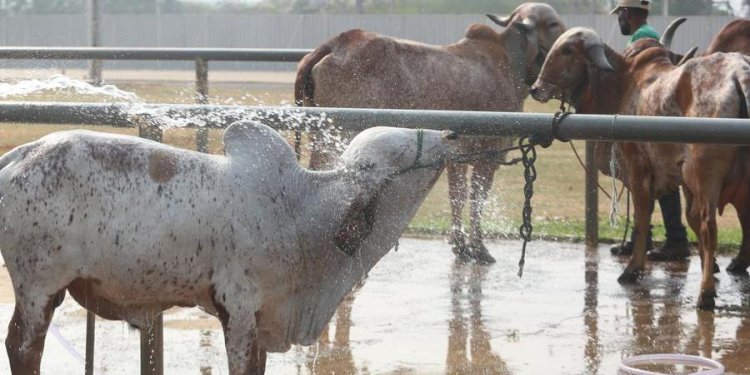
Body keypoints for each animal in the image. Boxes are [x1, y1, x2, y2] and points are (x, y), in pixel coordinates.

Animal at [0, 122, 462, 374]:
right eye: (399, 151)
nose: (448, 133)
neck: (301, 210)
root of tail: (19, 156)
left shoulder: (260, 315)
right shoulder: (236, 306)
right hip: (39, 286)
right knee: (22, 347)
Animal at [296, 2, 568, 264]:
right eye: (553, 24)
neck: (510, 63)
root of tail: (336, 43)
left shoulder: (457, 157)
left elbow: (457, 196)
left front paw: (460, 246)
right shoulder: (487, 154)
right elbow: (476, 199)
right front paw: (479, 249)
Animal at [528, 27, 750, 312]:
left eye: (566, 50)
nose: (535, 88)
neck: (624, 82)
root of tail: (738, 72)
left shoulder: (638, 169)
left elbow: (642, 217)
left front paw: (633, 269)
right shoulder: (681, 181)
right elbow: (686, 218)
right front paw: (709, 266)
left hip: (705, 174)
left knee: (708, 226)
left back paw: (706, 293)